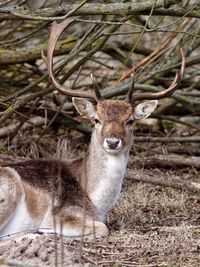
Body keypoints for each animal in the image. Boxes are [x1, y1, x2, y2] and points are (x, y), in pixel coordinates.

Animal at [0, 18, 184, 241]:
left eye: (130, 120)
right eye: (96, 119)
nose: (112, 142)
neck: (96, 202)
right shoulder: (63, 212)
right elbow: (103, 228)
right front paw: (48, 231)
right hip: (9, 187)